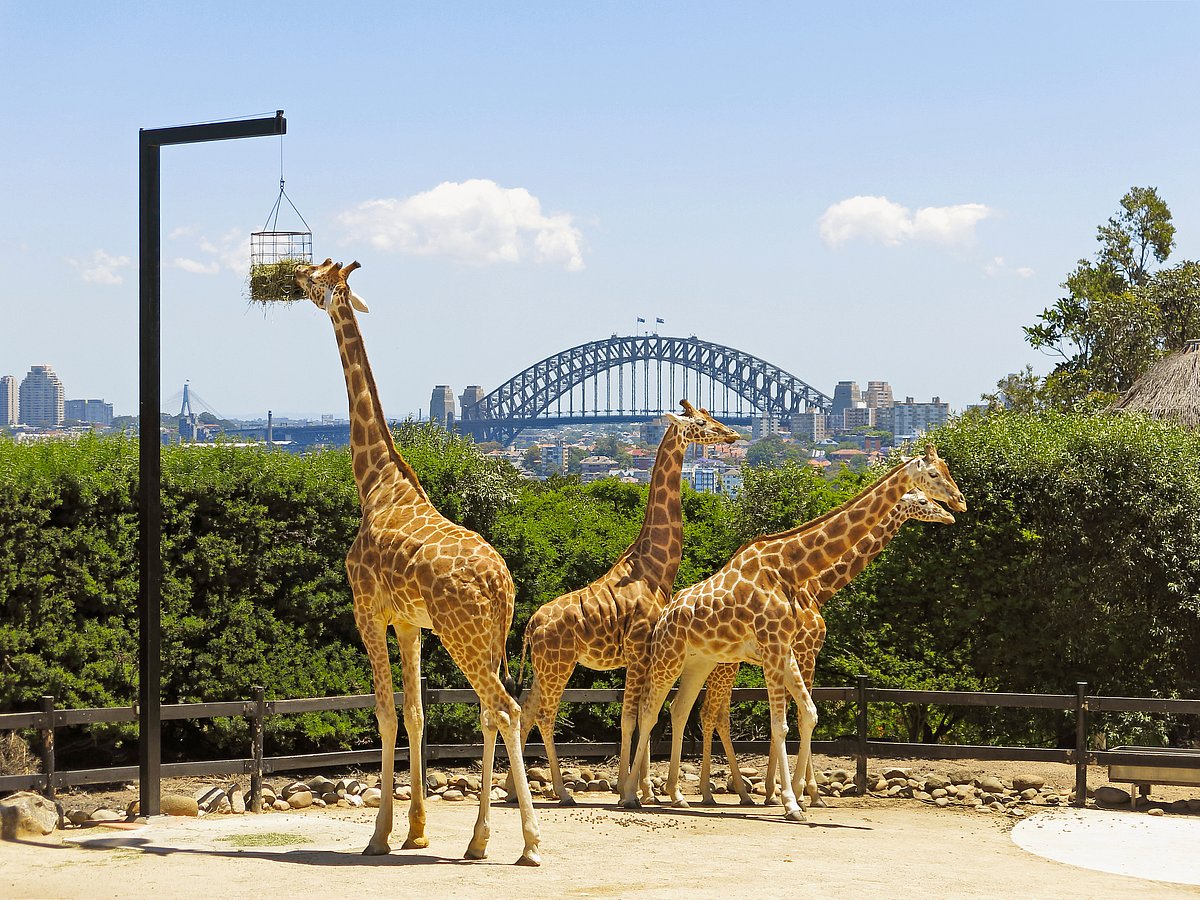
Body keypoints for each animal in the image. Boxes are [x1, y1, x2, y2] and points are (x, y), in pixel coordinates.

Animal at [293, 259, 541, 865]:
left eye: (317, 277)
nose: (290, 277)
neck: (377, 485)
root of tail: (501, 585)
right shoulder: (409, 623)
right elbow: (417, 713)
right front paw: (416, 830)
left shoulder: (367, 610)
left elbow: (385, 713)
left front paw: (379, 835)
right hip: (487, 639)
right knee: (492, 712)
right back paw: (477, 841)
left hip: (463, 636)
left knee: (505, 710)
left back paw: (528, 843)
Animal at [506, 401, 741, 806]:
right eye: (700, 423)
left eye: (711, 416)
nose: (733, 434)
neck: (654, 567)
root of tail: (531, 626)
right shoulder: (638, 649)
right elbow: (632, 718)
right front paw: (629, 793)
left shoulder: (645, 653)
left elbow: (645, 713)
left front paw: (644, 790)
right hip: (559, 664)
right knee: (547, 716)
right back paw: (561, 792)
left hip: (542, 667)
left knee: (529, 710)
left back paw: (510, 790)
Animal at [695, 490, 956, 807]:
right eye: (922, 501)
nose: (949, 516)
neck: (819, 588)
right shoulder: (807, 652)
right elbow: (799, 715)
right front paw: (807, 793)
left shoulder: (791, 655)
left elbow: (791, 714)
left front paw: (774, 791)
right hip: (726, 665)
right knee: (710, 713)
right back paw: (708, 792)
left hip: (725, 663)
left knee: (715, 714)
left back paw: (738, 794)